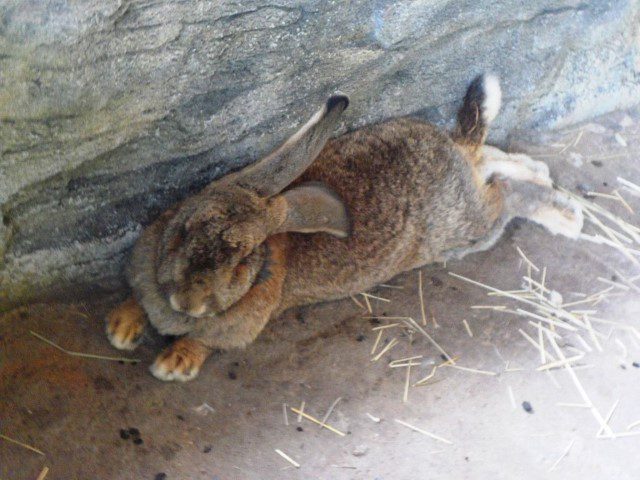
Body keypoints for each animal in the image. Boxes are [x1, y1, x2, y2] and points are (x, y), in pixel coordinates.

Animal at [107, 75, 584, 380]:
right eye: (185, 230)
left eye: (241, 262)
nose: (186, 303)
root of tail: (455, 153)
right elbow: (137, 299)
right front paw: (122, 327)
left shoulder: (235, 329)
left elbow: (209, 342)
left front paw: (173, 363)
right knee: (493, 159)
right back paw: (545, 178)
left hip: (469, 226)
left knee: (504, 193)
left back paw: (566, 215)